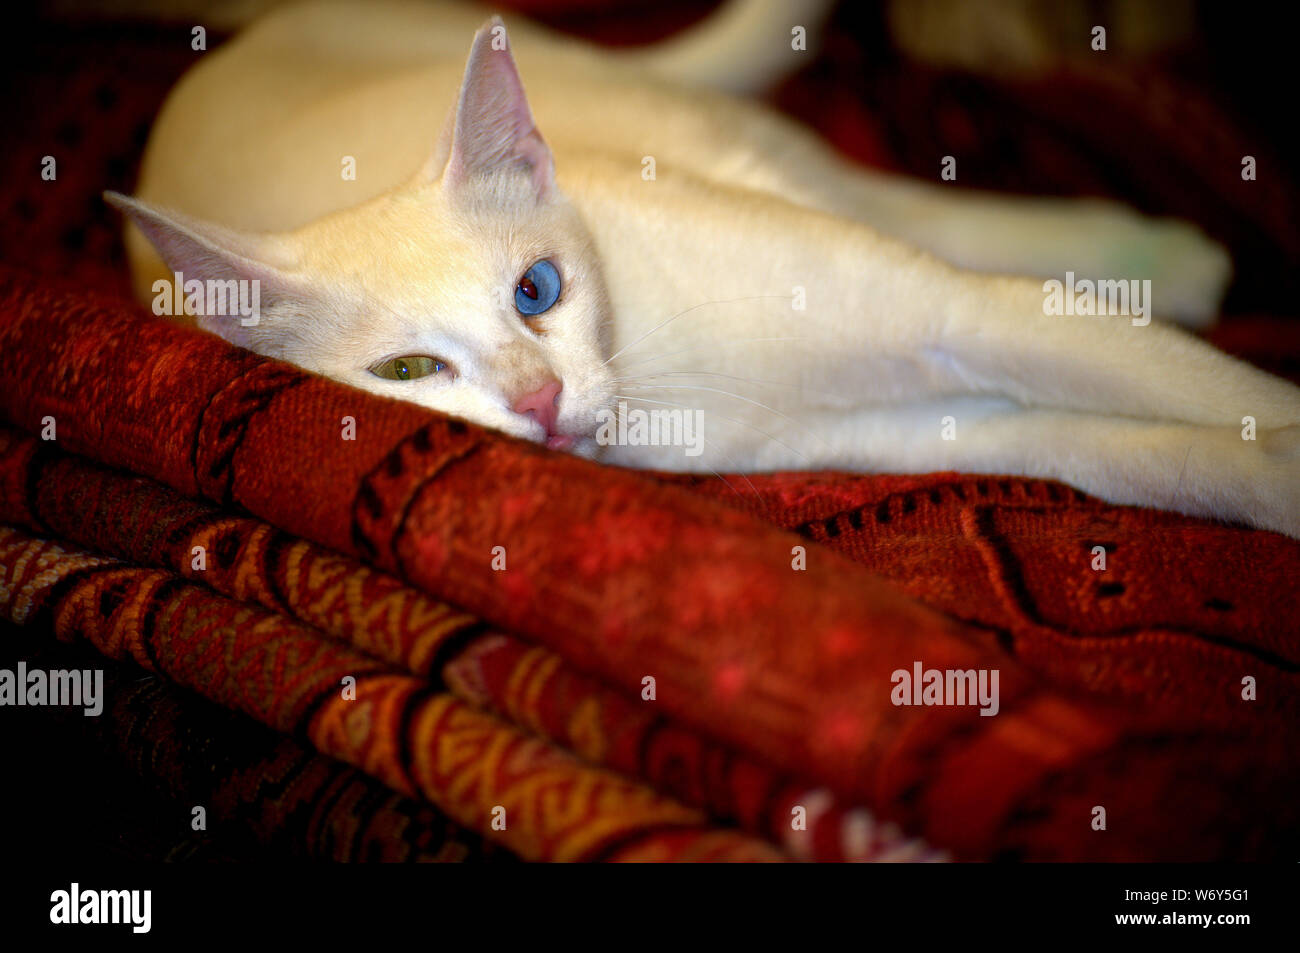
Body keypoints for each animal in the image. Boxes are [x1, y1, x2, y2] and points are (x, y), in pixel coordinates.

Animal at [111, 0, 1300, 535]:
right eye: (406, 374)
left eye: (535, 291)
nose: (539, 402)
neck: (662, 377)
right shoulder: (937, 429)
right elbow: (1161, 455)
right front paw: (1271, 478)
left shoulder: (954, 315)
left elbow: (1204, 386)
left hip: (755, 152)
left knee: (926, 210)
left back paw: (1164, 257)